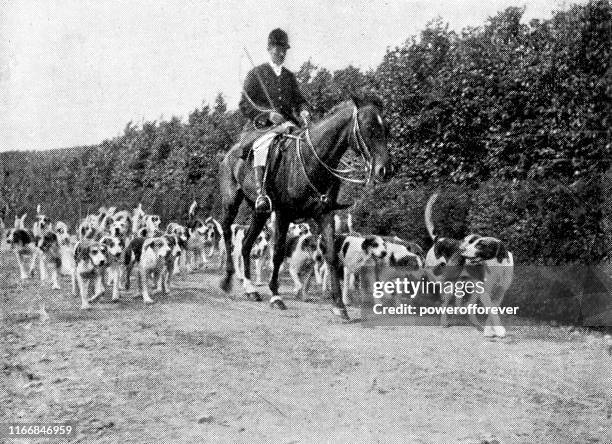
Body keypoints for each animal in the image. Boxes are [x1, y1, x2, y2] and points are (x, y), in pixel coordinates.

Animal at [218, 95, 390, 320]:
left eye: (386, 127)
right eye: (370, 127)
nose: (386, 170)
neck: (311, 160)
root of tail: (231, 152)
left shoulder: (324, 215)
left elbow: (331, 256)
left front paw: (339, 305)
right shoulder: (283, 214)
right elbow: (278, 253)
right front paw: (276, 295)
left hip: (259, 212)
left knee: (246, 244)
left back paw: (251, 289)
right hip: (231, 202)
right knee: (227, 232)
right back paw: (228, 279)